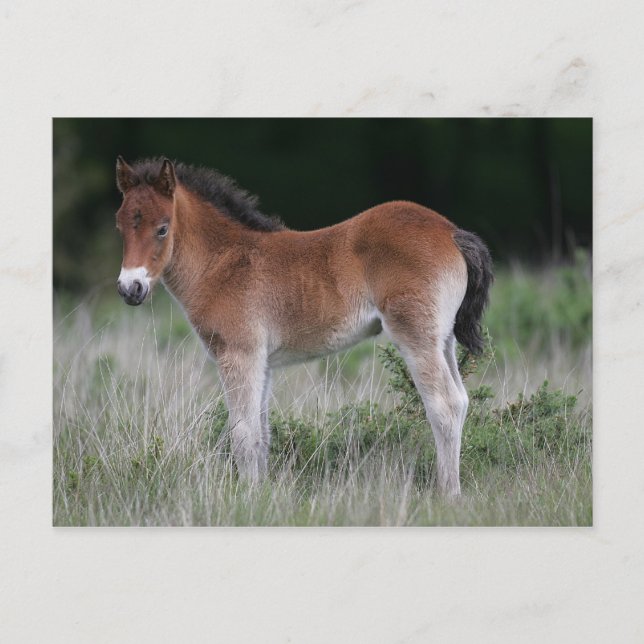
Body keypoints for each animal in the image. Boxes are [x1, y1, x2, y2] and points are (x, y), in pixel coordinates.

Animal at [114, 156, 492, 498]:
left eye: (163, 228)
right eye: (120, 226)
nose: (130, 288)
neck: (223, 262)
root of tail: (451, 231)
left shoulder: (239, 354)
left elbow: (242, 433)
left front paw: (246, 498)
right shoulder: (262, 363)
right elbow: (261, 434)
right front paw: (260, 495)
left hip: (416, 336)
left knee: (443, 405)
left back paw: (448, 495)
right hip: (442, 339)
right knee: (460, 401)